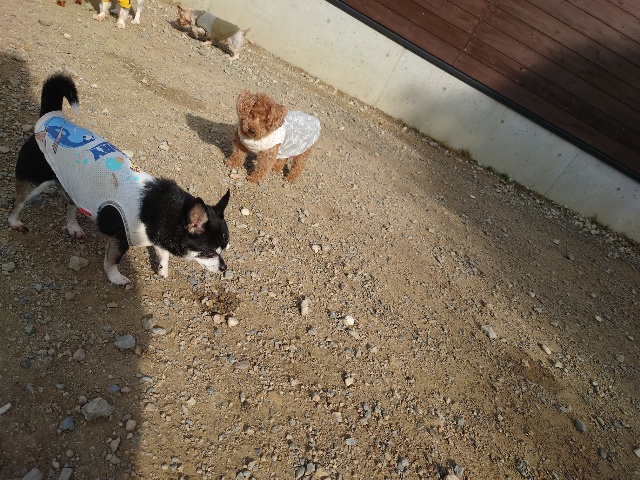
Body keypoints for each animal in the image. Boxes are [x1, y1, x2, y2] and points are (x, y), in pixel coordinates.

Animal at [9, 73, 230, 285]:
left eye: (224, 249)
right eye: (209, 252)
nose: (224, 268)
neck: (157, 206)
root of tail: (52, 115)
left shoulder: (158, 235)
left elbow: (164, 252)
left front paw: (163, 268)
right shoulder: (120, 238)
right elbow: (112, 260)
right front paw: (115, 277)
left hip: (76, 185)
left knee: (71, 206)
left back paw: (73, 227)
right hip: (32, 181)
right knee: (18, 203)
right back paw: (14, 222)